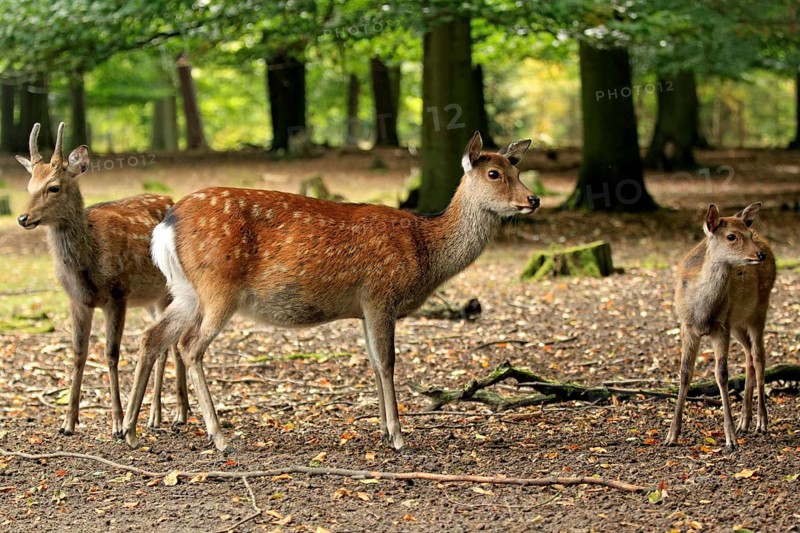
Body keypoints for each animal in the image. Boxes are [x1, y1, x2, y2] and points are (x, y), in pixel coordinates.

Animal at [16, 122, 189, 438]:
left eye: (53, 187)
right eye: (28, 186)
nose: (23, 217)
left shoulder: (118, 294)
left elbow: (111, 354)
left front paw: (118, 424)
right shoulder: (77, 301)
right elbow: (78, 353)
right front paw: (68, 422)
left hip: (169, 290)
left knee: (170, 342)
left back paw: (179, 414)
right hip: (151, 300)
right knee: (163, 342)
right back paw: (156, 416)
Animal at [120, 131, 539, 452]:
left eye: (517, 169)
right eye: (494, 173)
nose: (533, 199)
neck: (425, 249)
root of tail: (165, 226)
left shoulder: (365, 307)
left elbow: (373, 361)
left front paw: (384, 430)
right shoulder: (380, 293)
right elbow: (388, 362)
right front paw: (398, 437)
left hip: (185, 290)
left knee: (152, 337)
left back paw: (129, 431)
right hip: (218, 287)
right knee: (189, 345)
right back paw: (219, 437)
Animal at [664, 203, 775, 450]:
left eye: (748, 234)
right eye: (731, 236)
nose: (759, 254)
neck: (703, 312)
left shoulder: (721, 327)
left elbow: (722, 373)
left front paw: (730, 439)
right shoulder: (687, 326)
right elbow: (685, 372)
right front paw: (671, 435)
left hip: (758, 309)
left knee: (759, 356)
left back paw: (761, 422)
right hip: (737, 322)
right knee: (748, 355)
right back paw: (745, 421)